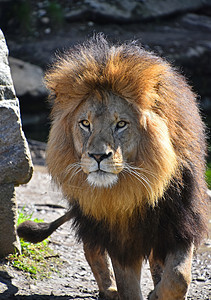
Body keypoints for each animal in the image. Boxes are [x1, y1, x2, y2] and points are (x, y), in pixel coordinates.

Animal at [16, 34, 208, 298]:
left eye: (121, 124)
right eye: (85, 124)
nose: (98, 156)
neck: (134, 190)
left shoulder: (179, 223)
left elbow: (178, 277)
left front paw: (157, 292)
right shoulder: (119, 241)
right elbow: (129, 288)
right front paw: (136, 291)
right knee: (92, 249)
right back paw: (109, 289)